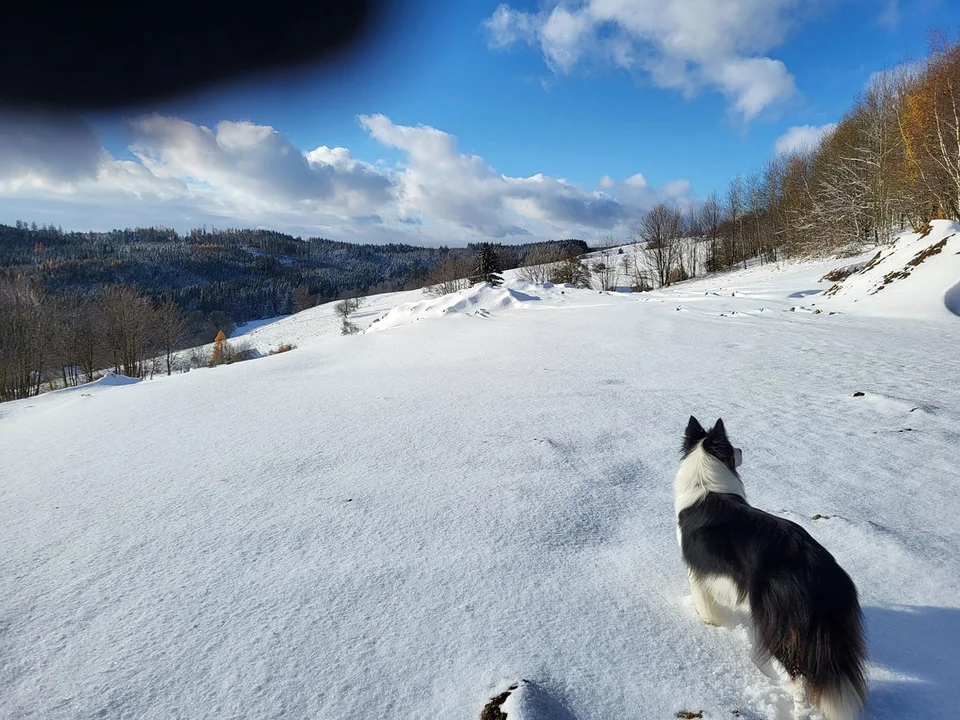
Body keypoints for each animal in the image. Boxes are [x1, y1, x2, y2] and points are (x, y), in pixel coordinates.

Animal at [676, 416, 872, 720]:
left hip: (780, 625)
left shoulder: (697, 570)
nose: (743, 449)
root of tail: (819, 574)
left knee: (798, 677)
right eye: (733, 447)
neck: (705, 478)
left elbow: (703, 602)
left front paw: (709, 621)